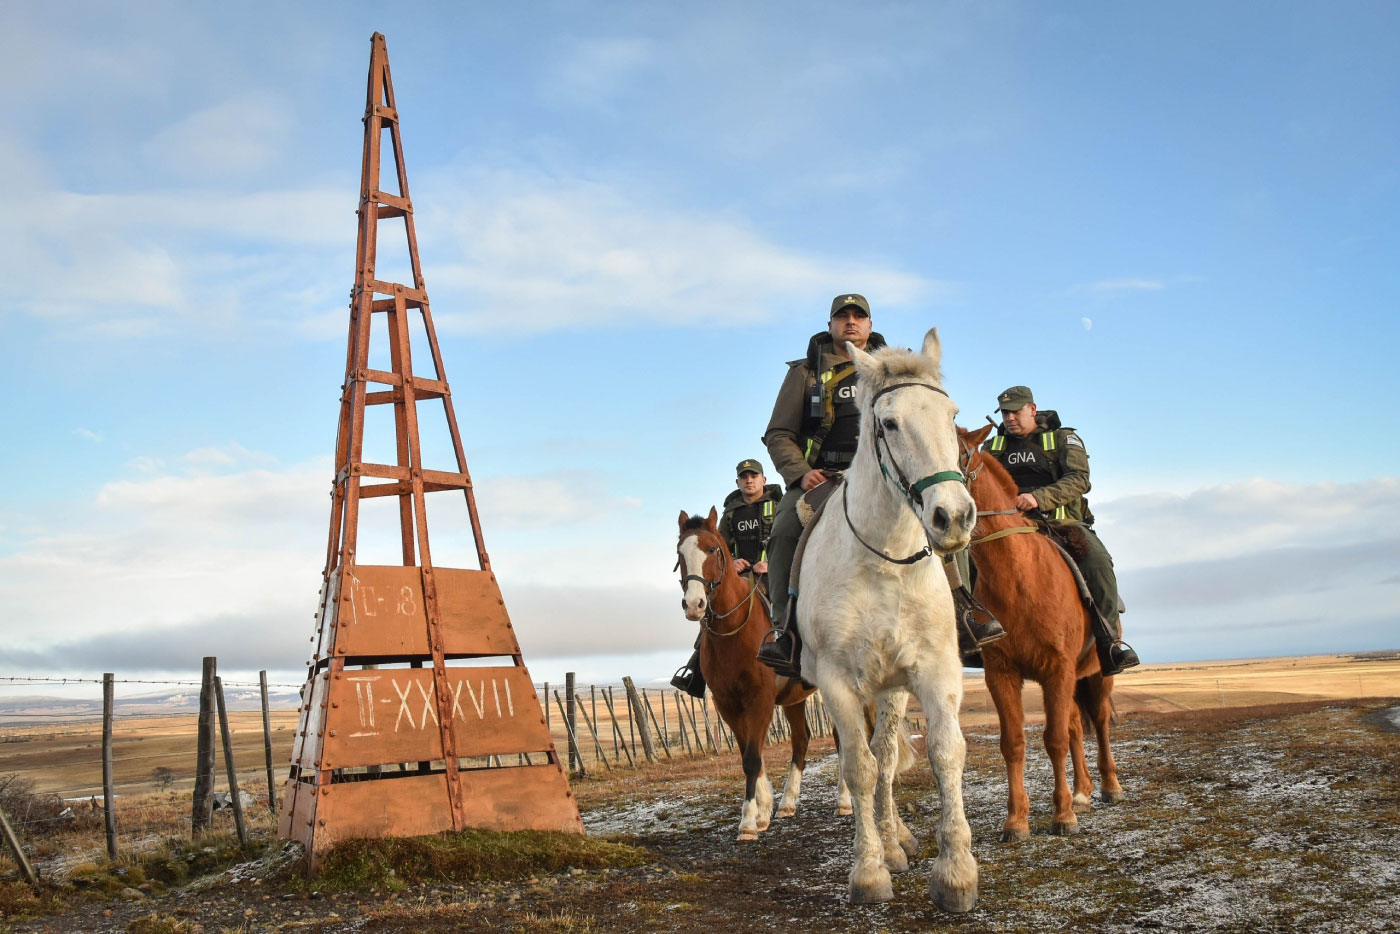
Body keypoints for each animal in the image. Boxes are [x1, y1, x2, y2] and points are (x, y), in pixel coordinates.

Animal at [677, 508, 819, 840]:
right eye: (679, 553)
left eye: (712, 550)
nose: (694, 605)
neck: (733, 631)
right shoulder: (727, 704)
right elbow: (747, 755)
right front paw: (762, 811)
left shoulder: (760, 700)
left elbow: (754, 758)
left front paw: (748, 823)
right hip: (794, 700)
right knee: (801, 740)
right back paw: (788, 803)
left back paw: (847, 801)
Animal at [795, 329, 980, 911]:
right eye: (890, 423)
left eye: (951, 415)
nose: (953, 517)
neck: (884, 560)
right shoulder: (836, 682)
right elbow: (858, 768)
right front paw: (870, 872)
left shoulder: (935, 670)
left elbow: (944, 754)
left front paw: (955, 874)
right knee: (873, 761)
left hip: (893, 688)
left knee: (889, 751)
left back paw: (897, 836)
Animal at [958, 424, 1123, 841]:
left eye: (959, 454)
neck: (1019, 579)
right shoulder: (1002, 674)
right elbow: (1014, 743)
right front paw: (1017, 821)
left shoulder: (1058, 669)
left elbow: (1054, 740)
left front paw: (1062, 816)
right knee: (1076, 727)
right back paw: (1082, 793)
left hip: (1097, 675)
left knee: (1098, 723)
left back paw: (1110, 788)